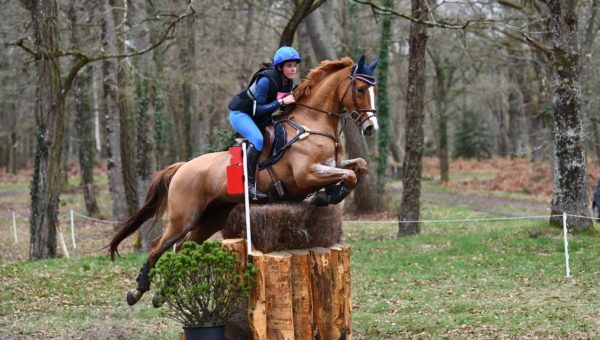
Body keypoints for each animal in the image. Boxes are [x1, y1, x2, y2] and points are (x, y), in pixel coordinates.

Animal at [109, 55, 378, 306]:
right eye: (361, 89)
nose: (371, 128)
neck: (312, 123)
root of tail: (183, 166)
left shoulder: (332, 165)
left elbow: (359, 167)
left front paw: (327, 194)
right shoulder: (306, 174)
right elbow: (350, 175)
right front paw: (327, 195)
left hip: (211, 218)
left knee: (183, 247)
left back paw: (162, 293)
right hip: (183, 218)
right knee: (157, 247)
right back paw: (138, 291)